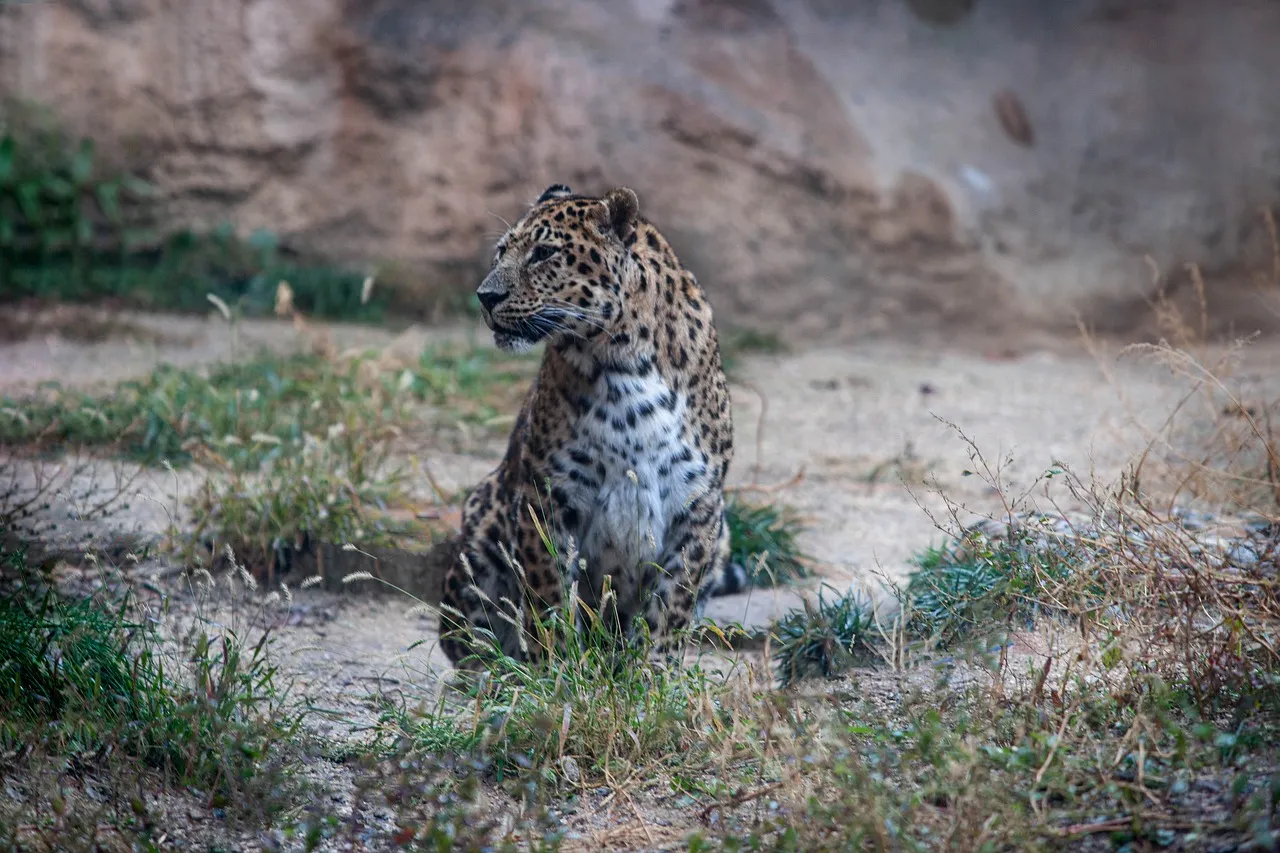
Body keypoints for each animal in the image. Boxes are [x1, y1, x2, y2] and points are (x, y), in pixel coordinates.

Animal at [438, 183, 747, 669]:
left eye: (544, 253)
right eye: (502, 252)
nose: (485, 296)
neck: (623, 358)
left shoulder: (697, 501)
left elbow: (672, 601)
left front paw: (651, 672)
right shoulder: (548, 493)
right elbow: (548, 594)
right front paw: (558, 669)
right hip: (480, 523)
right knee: (470, 644)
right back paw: (503, 673)